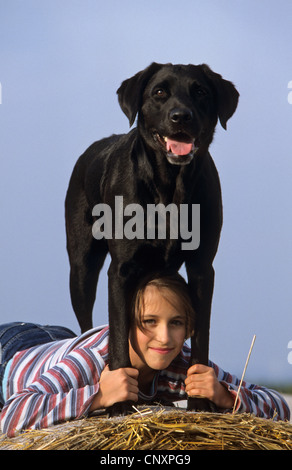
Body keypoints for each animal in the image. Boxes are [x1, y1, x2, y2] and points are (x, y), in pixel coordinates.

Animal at [65, 61, 238, 412]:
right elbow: (119, 334)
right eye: (159, 92)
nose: (180, 116)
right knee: (86, 322)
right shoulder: (120, 270)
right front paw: (119, 403)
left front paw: (201, 399)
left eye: (200, 91)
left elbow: (202, 335)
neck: (170, 186)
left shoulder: (202, 268)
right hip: (82, 267)